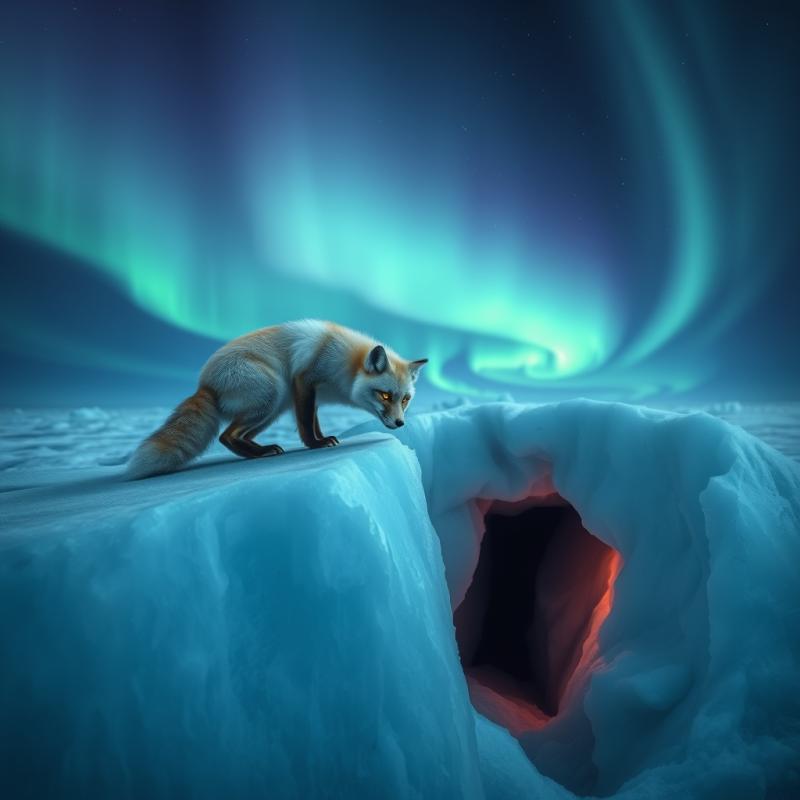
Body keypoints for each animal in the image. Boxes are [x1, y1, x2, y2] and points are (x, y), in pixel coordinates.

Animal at [125, 319, 428, 480]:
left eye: (405, 400)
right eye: (385, 395)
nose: (400, 424)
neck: (344, 360)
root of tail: (204, 382)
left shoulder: (310, 394)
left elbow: (313, 421)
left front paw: (322, 439)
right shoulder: (304, 379)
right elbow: (306, 423)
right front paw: (316, 445)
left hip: (273, 408)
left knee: (233, 435)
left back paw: (262, 449)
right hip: (272, 394)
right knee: (226, 435)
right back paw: (259, 453)